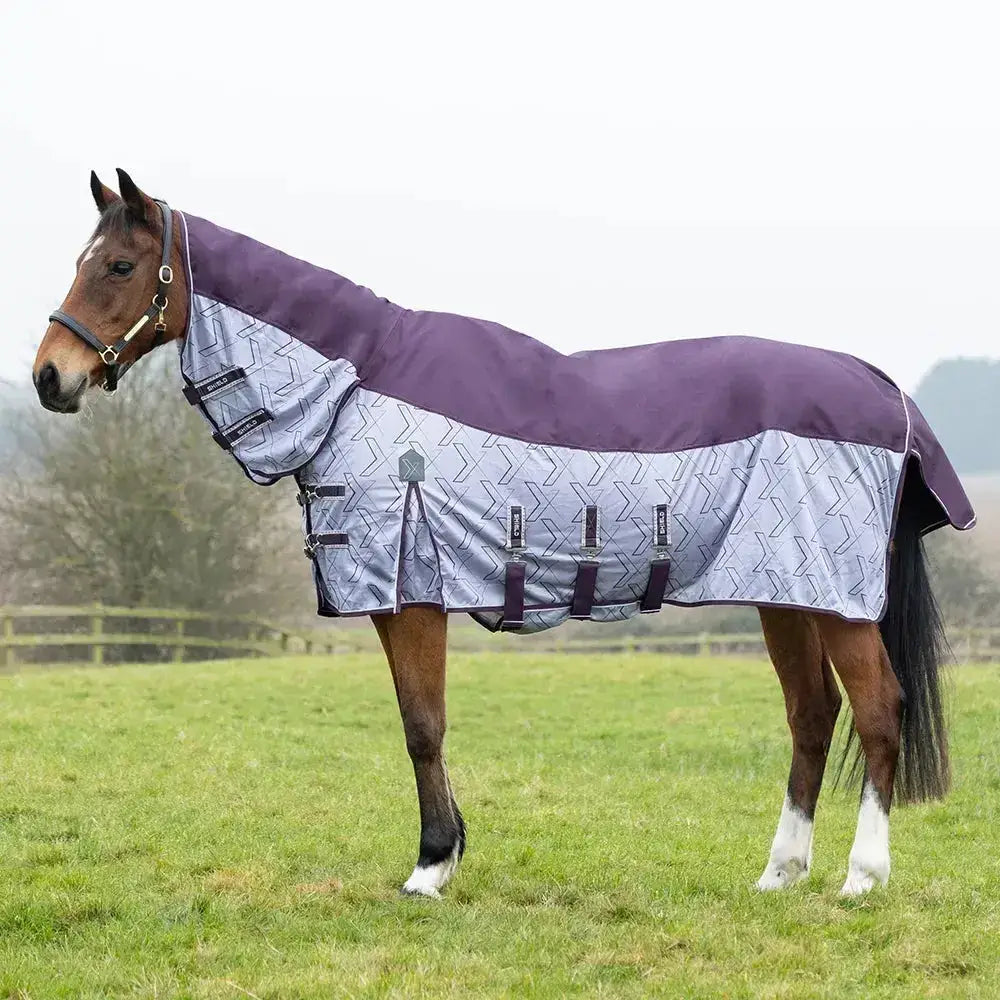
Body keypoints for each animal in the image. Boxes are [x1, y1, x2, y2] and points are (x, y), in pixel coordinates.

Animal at [33, 169, 975, 898]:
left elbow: (422, 725)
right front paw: (446, 856)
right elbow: (422, 723)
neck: (355, 385)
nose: (50, 377)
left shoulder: (409, 595)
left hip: (836, 599)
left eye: (119, 265)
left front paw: (429, 868)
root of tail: (883, 389)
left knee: (878, 711)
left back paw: (861, 879)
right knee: (813, 717)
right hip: (785, 593)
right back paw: (780, 874)